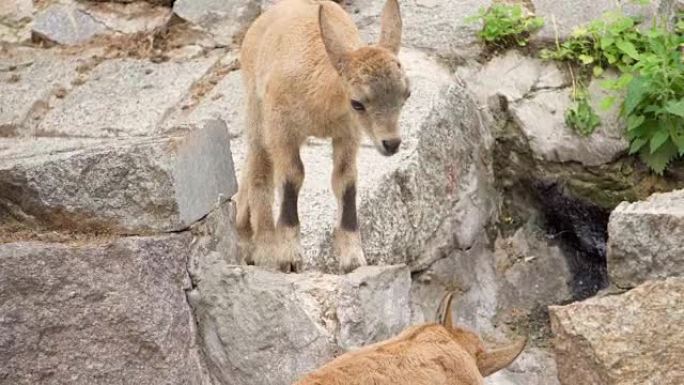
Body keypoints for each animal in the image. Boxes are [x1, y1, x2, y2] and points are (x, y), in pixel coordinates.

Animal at [235, 0, 408, 272]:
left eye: (406, 95)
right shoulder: (281, 129)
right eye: (358, 103)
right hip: (257, 113)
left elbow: (345, 181)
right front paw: (290, 256)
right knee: (260, 168)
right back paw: (264, 246)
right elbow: (291, 176)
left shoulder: (348, 134)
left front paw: (353, 258)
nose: (391, 143)